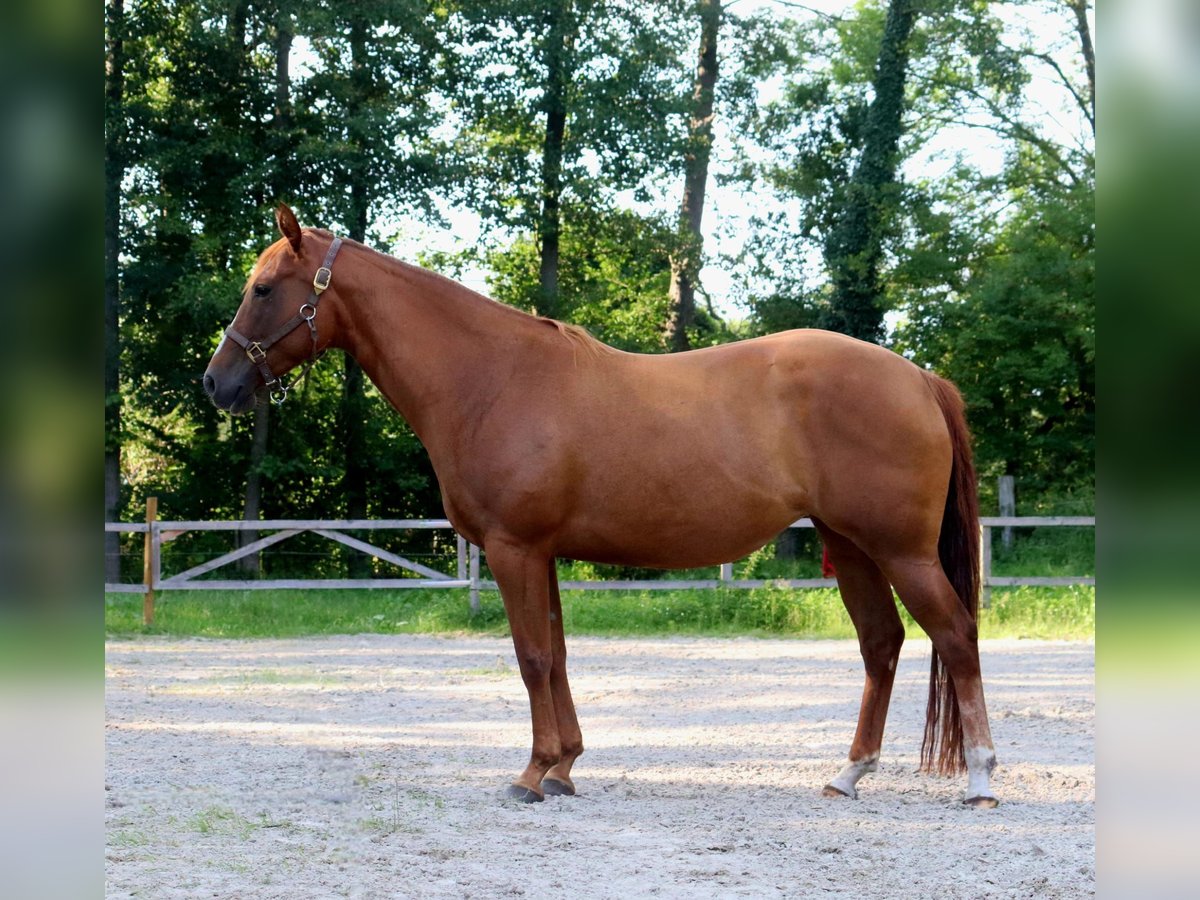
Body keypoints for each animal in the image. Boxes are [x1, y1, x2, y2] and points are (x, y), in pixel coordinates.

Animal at [201, 206, 998, 811]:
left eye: (264, 289)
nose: (216, 384)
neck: (489, 378)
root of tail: (918, 377)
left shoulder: (514, 549)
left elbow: (529, 658)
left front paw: (531, 775)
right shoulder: (541, 553)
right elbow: (555, 655)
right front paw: (563, 767)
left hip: (900, 551)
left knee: (955, 636)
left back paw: (982, 780)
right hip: (853, 546)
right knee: (882, 646)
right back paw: (847, 774)